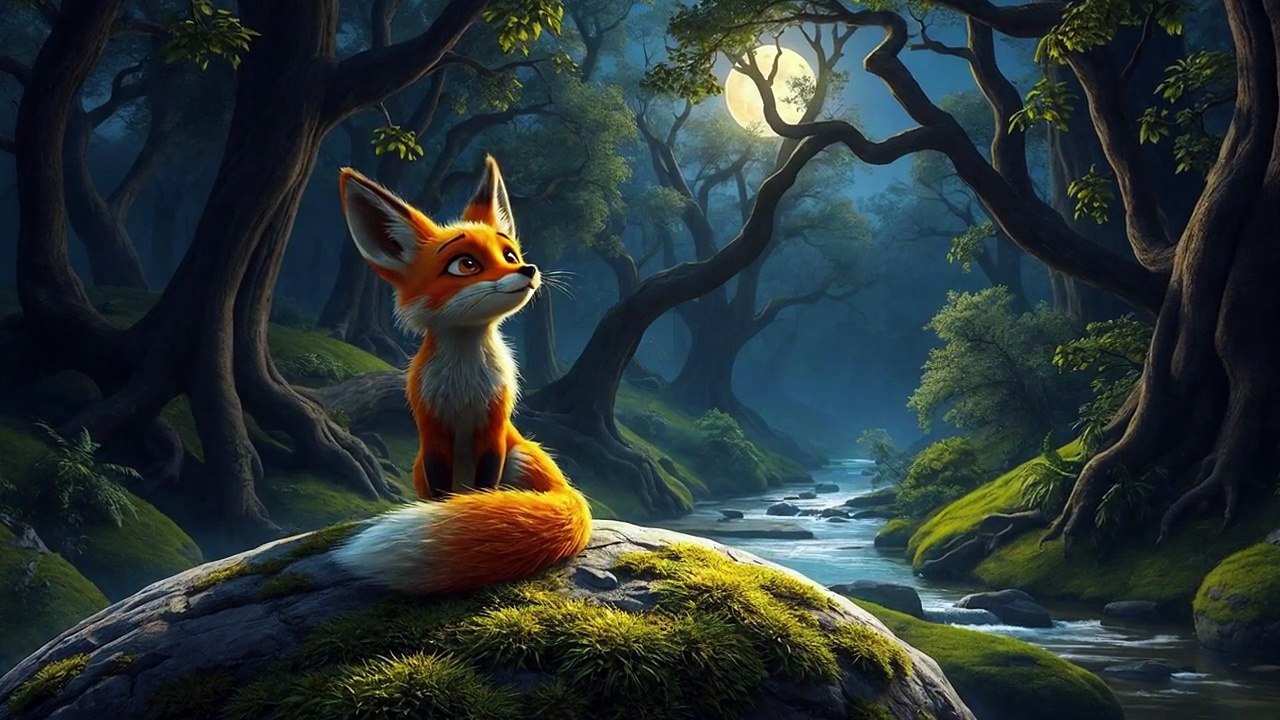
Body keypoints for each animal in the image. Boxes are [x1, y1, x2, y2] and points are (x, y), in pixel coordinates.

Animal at [330, 155, 591, 594]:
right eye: (466, 264)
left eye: (509, 253)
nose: (528, 268)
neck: (464, 383)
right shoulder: (433, 433)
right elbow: (441, 494)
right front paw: (451, 514)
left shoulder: (492, 427)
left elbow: (484, 489)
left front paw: (475, 512)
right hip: (420, 464)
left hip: (520, 455)